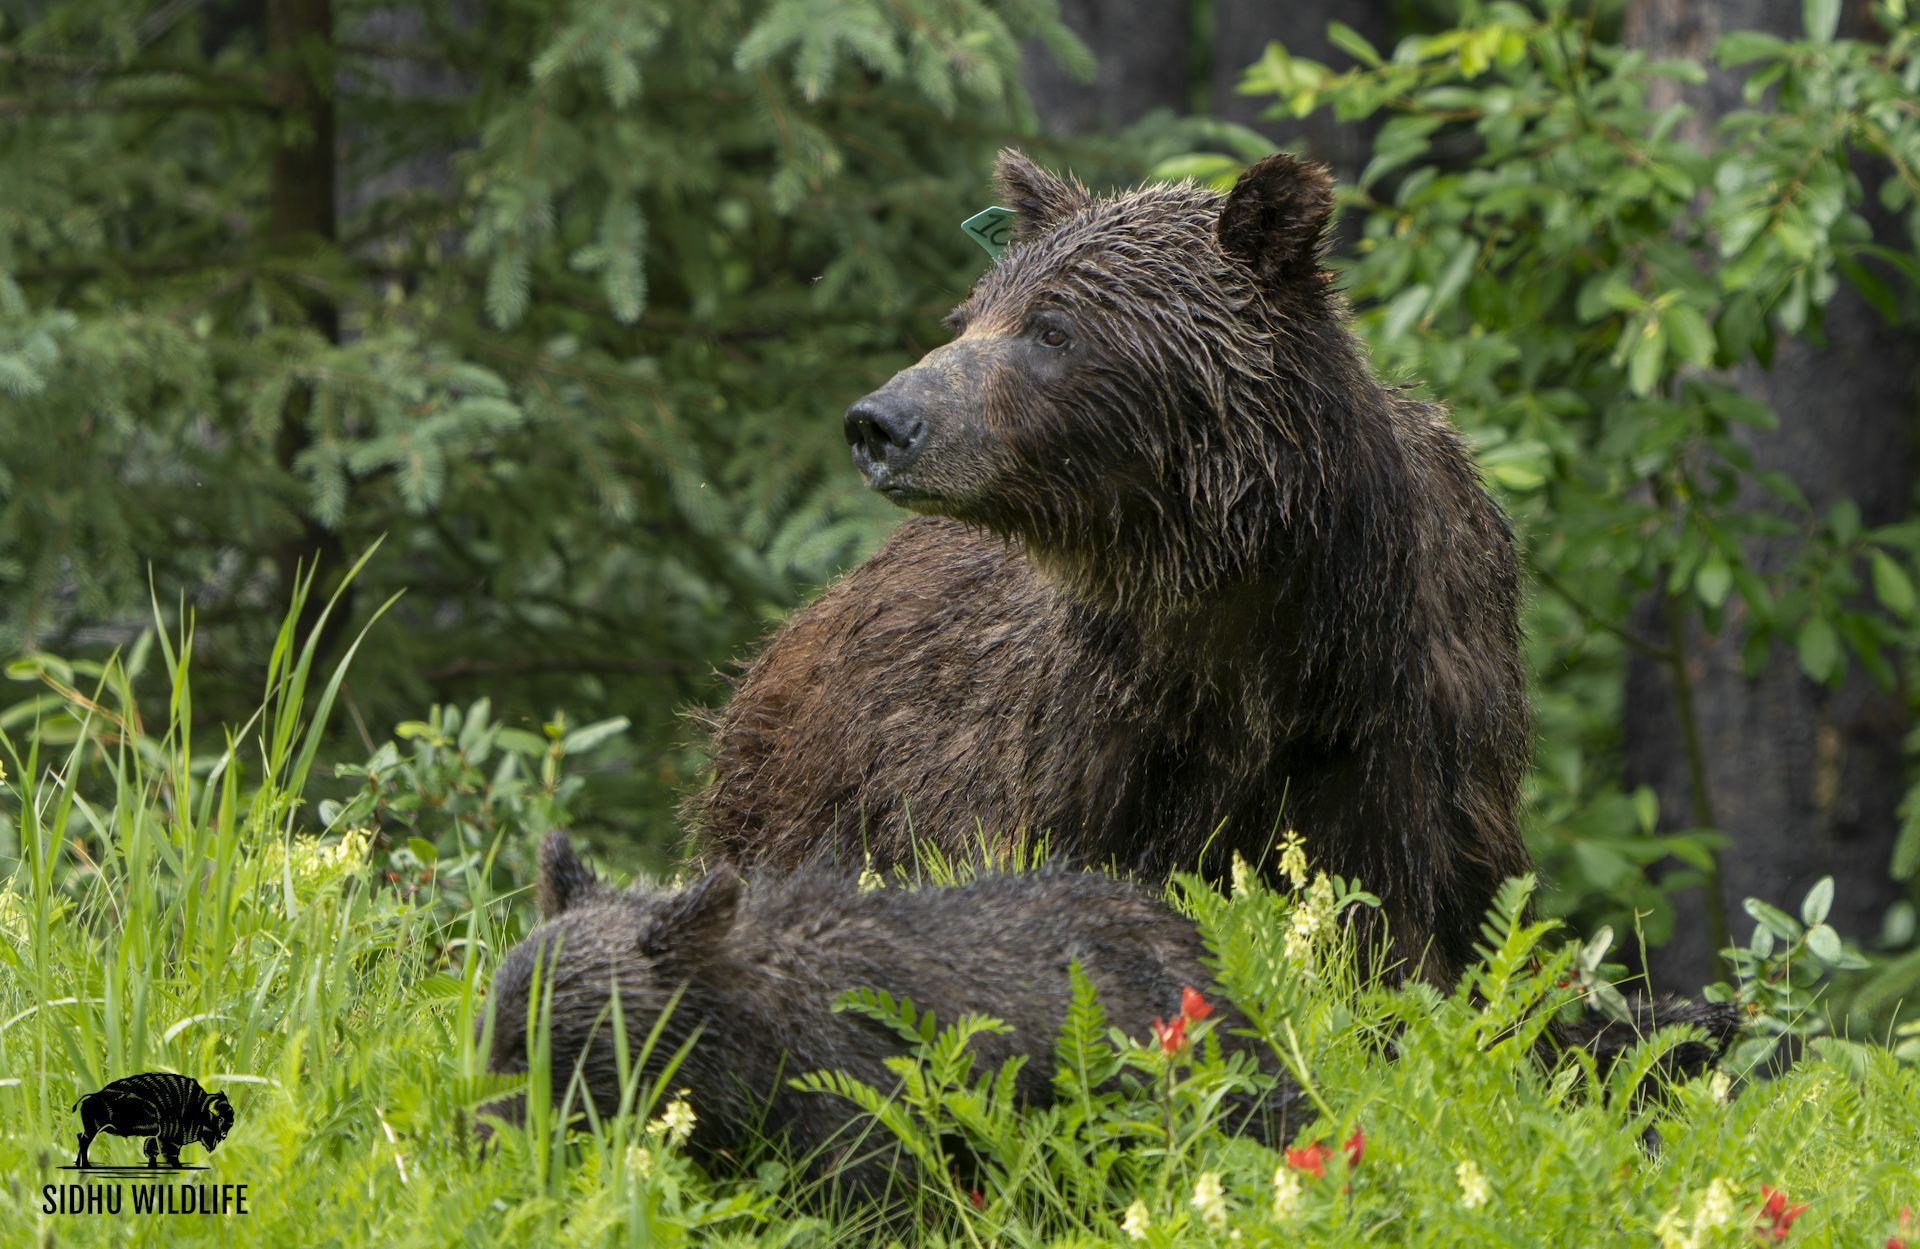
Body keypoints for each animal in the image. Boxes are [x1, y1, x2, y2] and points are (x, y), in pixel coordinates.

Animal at [689, 149, 1531, 986]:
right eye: (967, 318)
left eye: (1051, 329)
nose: (881, 422)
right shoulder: (1090, 730)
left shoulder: (1405, 727)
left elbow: (1405, 922)